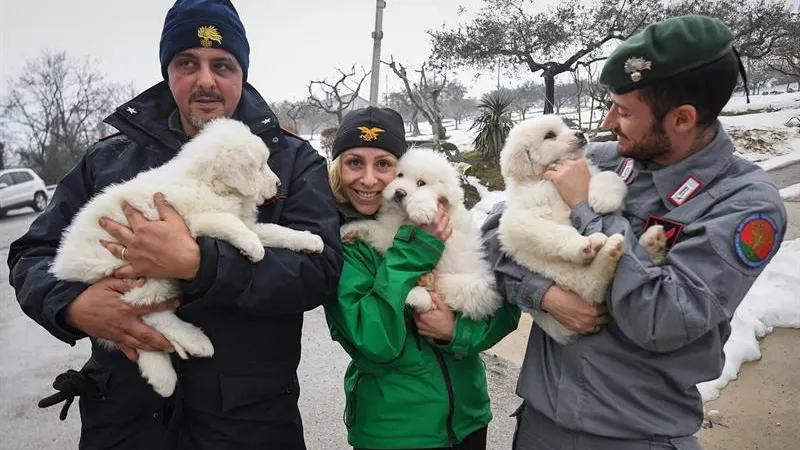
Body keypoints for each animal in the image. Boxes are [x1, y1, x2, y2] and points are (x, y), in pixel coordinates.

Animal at [50, 118, 324, 396]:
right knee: (145, 314)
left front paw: (309, 240)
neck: (209, 184)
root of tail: (65, 265)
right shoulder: (191, 222)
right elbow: (227, 222)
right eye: (259, 167)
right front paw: (253, 246)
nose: (278, 184)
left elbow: (274, 230)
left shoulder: (246, 222)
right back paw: (195, 342)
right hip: (138, 273)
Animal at [342, 149, 500, 322]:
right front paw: (348, 230)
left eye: (421, 183)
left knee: (440, 295)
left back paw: (417, 293)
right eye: (399, 175)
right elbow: (372, 227)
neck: (404, 218)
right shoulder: (389, 236)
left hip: (473, 288)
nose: (399, 192)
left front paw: (420, 209)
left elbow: (426, 196)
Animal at [496, 116, 628, 344]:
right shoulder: (518, 222)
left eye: (566, 126)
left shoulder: (591, 172)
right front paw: (581, 244)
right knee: (589, 286)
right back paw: (600, 246)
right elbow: (556, 233)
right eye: (549, 135)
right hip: (558, 270)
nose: (580, 133)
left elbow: (609, 176)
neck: (547, 180)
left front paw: (603, 200)